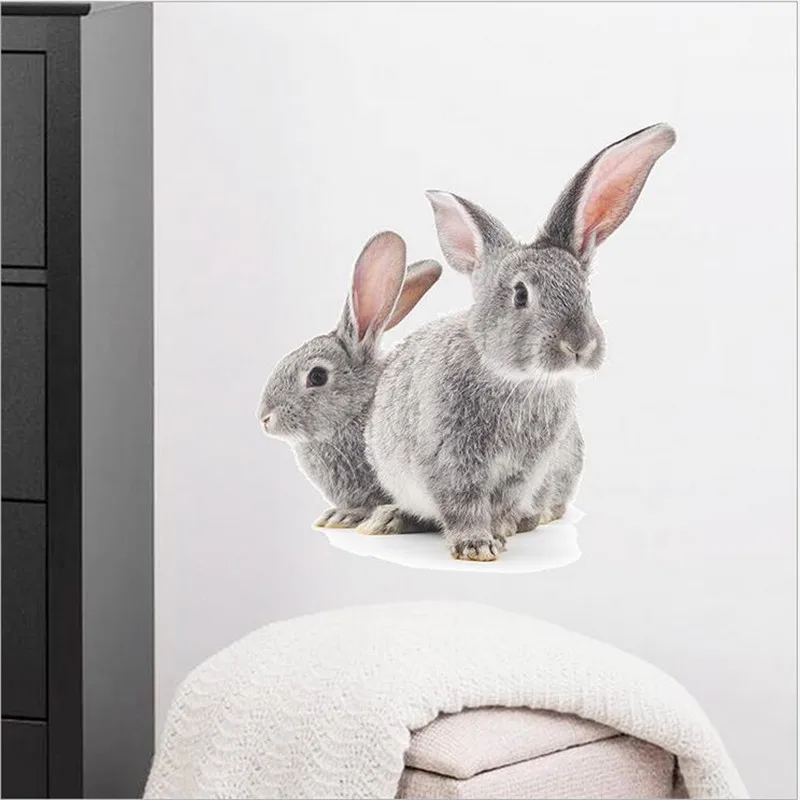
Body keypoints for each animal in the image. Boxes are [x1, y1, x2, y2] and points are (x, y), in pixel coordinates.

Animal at [359, 123, 676, 560]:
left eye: (585, 293)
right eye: (521, 295)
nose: (578, 346)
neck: (519, 381)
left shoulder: (523, 471)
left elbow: (502, 503)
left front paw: (501, 532)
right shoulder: (451, 462)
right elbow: (463, 504)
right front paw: (476, 546)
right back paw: (389, 519)